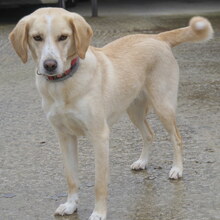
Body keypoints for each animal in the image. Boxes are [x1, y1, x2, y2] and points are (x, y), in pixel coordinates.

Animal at [9, 7, 214, 220]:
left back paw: (177, 169)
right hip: (134, 110)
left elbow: (99, 184)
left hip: (163, 107)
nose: (50, 65)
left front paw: (99, 213)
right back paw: (142, 162)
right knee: (149, 134)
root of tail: (157, 37)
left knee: (177, 138)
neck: (64, 84)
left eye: (63, 37)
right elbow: (71, 178)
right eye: (37, 37)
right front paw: (71, 205)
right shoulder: (65, 137)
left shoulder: (99, 137)